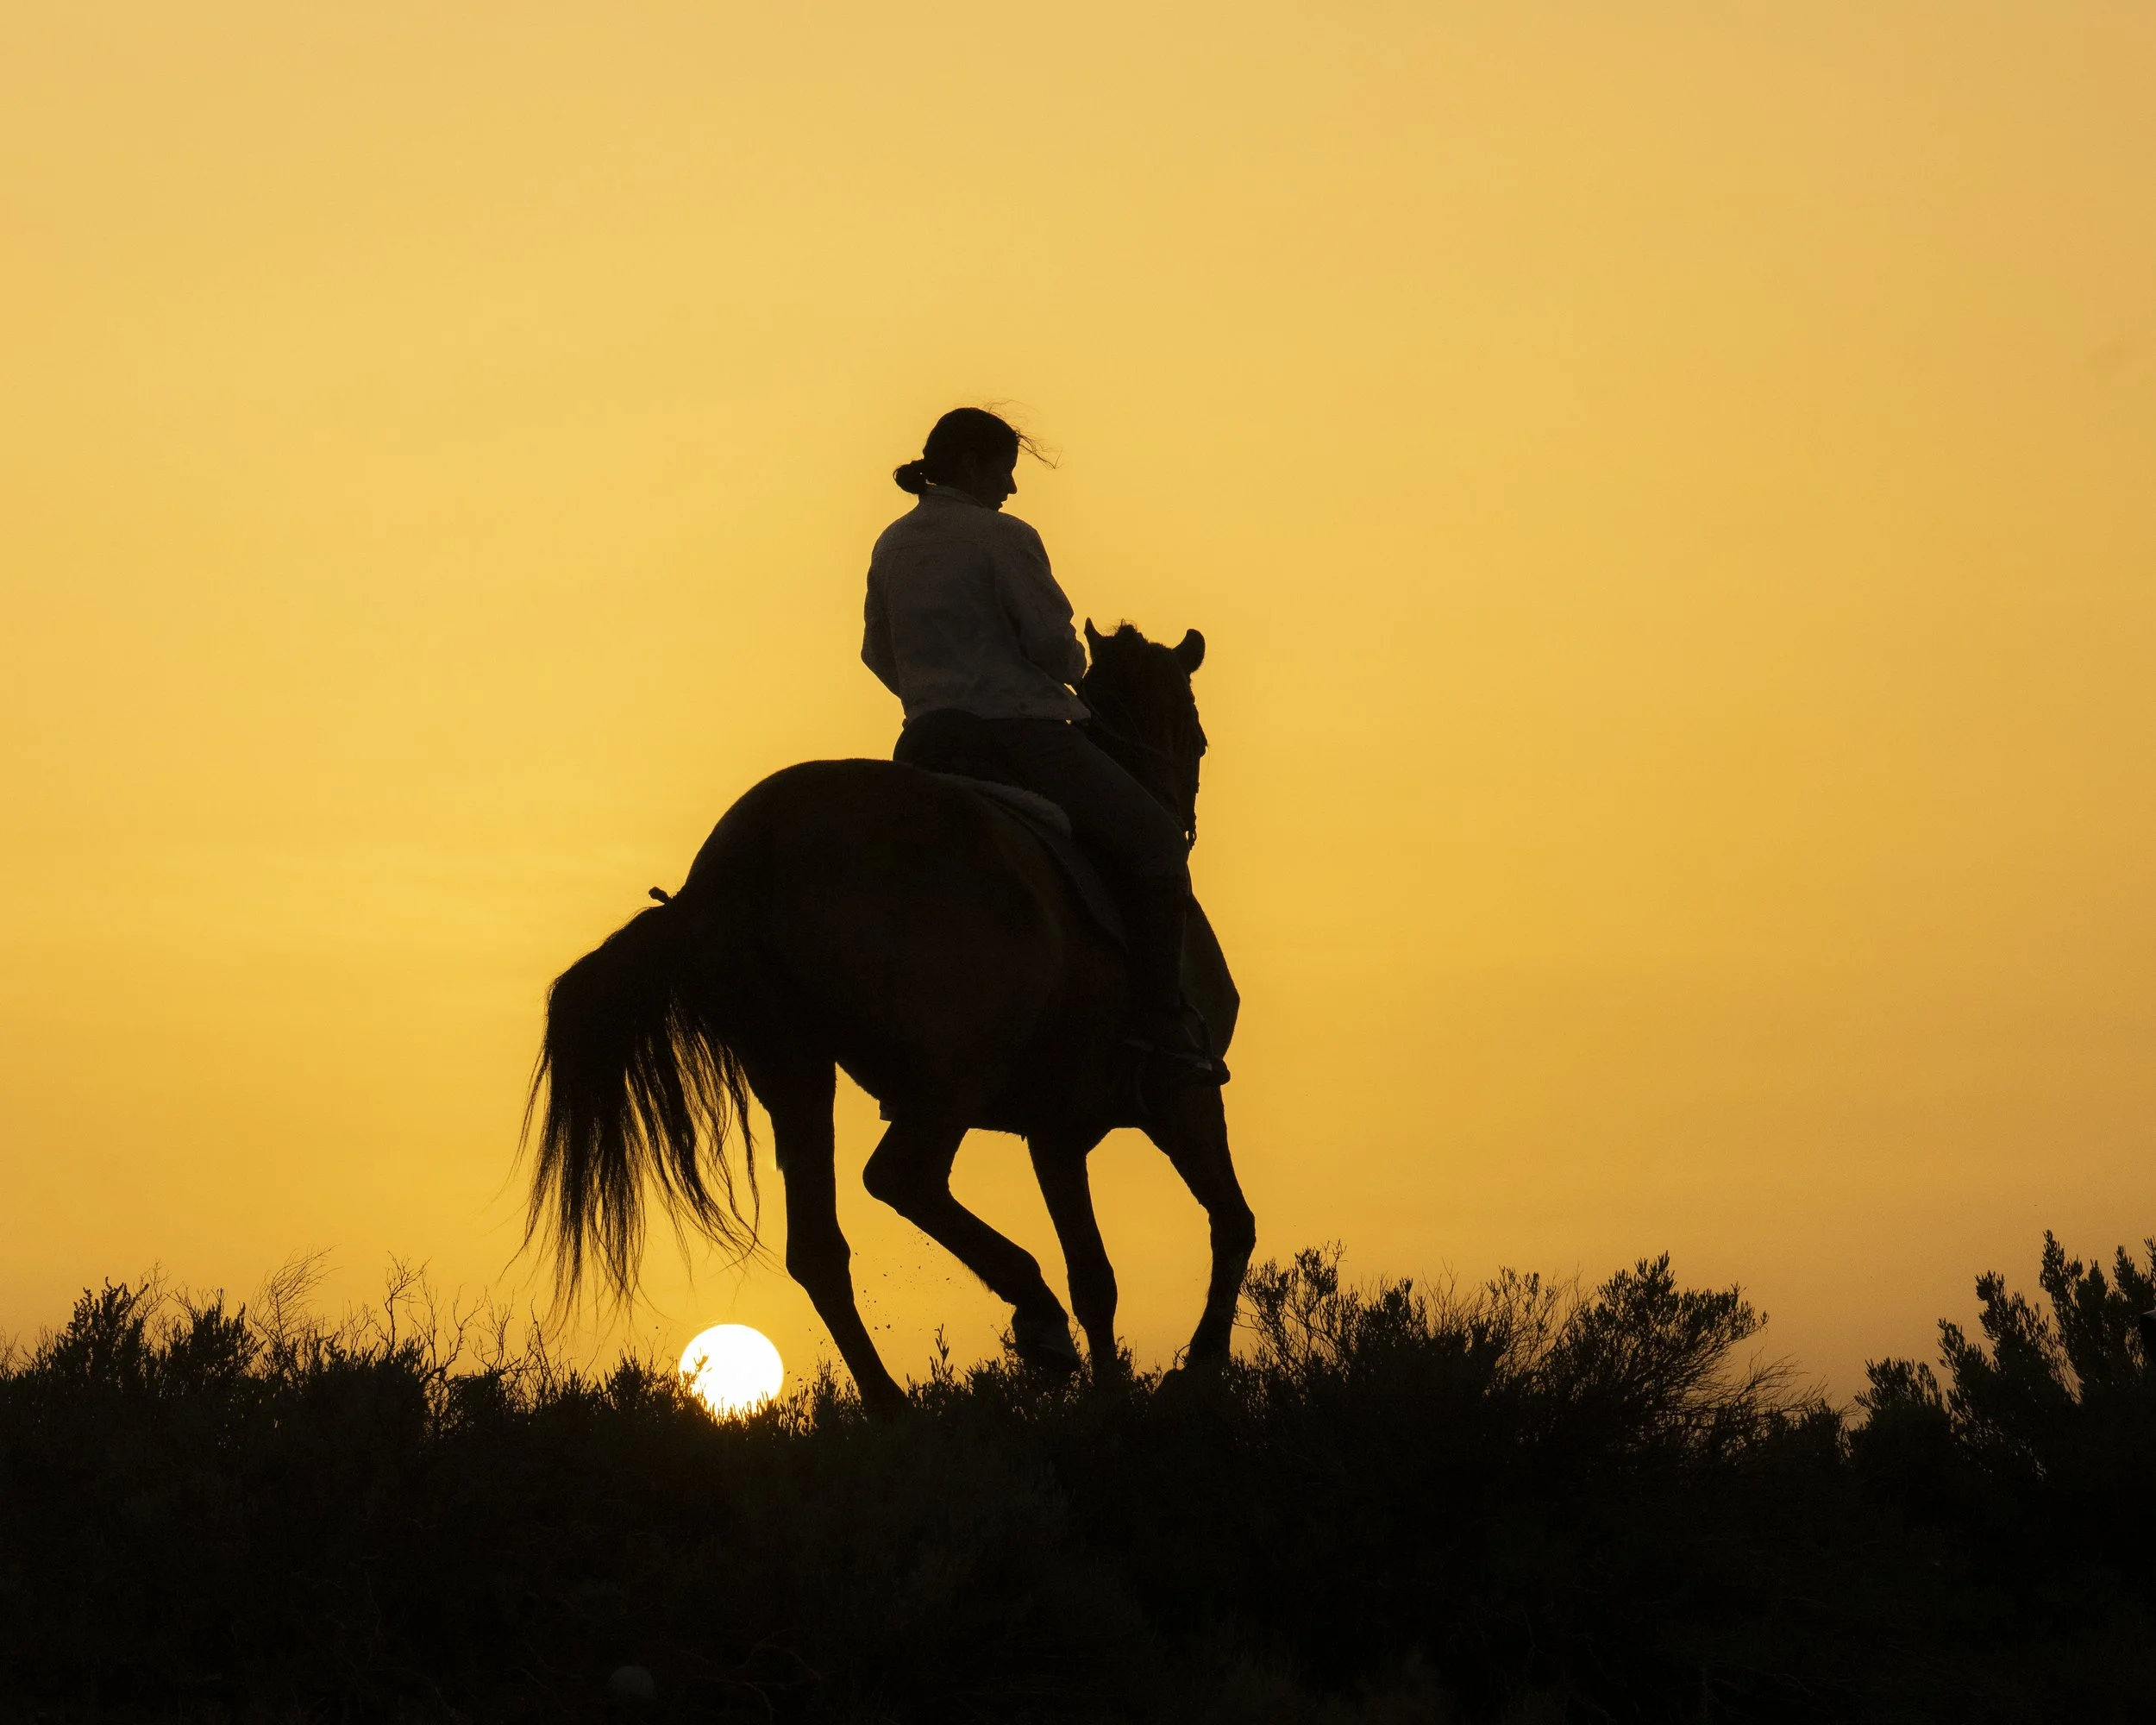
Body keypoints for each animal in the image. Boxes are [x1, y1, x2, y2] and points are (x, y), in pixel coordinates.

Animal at [524, 621, 1255, 1413]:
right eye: (1198, 737)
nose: (1181, 815)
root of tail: (747, 852)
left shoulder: (1055, 1132)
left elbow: (1098, 1277)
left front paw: (1114, 1394)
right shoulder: (1184, 1100)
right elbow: (1232, 1225)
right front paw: (1199, 1365)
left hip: (794, 1069)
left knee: (820, 1247)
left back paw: (891, 1403)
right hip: (954, 1075)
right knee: (903, 1177)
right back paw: (1031, 1315)